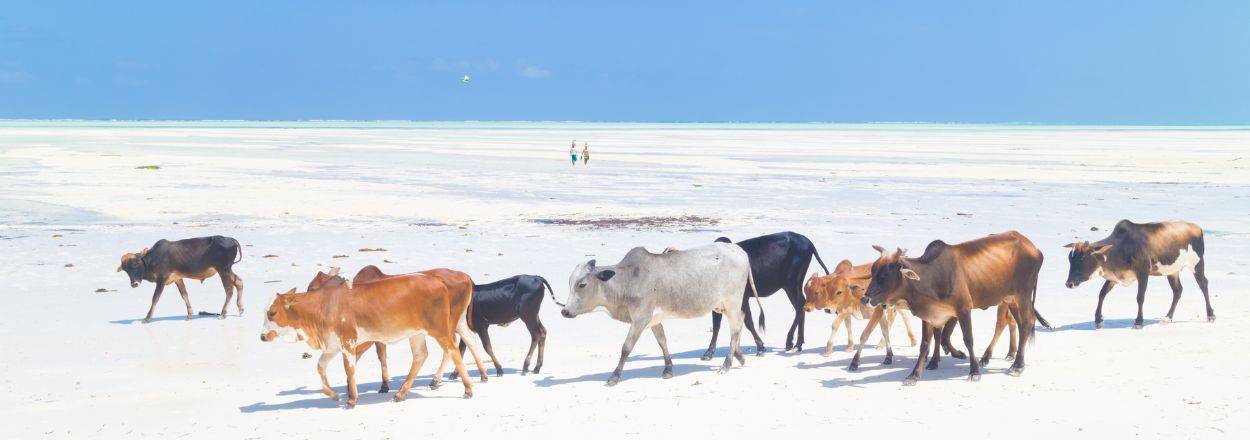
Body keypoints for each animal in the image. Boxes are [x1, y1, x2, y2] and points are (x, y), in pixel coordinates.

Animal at [258, 267, 477, 410]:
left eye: (272, 313)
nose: (261, 336)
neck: (325, 305)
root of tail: (438, 281)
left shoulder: (349, 341)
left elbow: (349, 368)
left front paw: (352, 399)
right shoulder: (333, 344)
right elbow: (320, 367)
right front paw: (334, 394)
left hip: (440, 329)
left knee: (453, 349)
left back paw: (467, 388)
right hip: (416, 333)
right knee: (420, 356)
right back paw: (401, 393)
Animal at [565, 242, 760, 387]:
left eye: (582, 284)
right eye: (570, 283)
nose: (564, 311)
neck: (628, 280)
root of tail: (739, 250)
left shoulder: (640, 318)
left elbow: (626, 348)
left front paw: (614, 376)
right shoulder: (653, 320)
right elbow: (662, 342)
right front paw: (668, 369)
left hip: (732, 302)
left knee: (735, 328)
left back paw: (727, 364)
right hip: (722, 306)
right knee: (741, 321)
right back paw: (739, 356)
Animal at [860, 232, 1045, 382]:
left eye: (885, 275)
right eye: (873, 271)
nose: (865, 298)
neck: (931, 276)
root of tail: (1034, 247)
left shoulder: (963, 309)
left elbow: (967, 339)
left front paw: (974, 371)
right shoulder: (929, 314)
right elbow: (926, 343)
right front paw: (914, 374)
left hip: (1023, 295)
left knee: (1027, 323)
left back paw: (1017, 365)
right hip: (1011, 299)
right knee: (1020, 325)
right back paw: (1014, 360)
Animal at [1065, 218, 1210, 327]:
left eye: (1083, 259)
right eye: (1070, 259)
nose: (1069, 283)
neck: (1121, 248)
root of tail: (1197, 228)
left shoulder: (1143, 273)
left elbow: (1140, 297)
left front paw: (1138, 322)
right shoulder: (1114, 276)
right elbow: (1102, 294)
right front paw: (1098, 319)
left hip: (1197, 263)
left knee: (1203, 284)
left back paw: (1210, 315)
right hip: (1172, 271)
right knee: (1177, 290)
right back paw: (1167, 318)